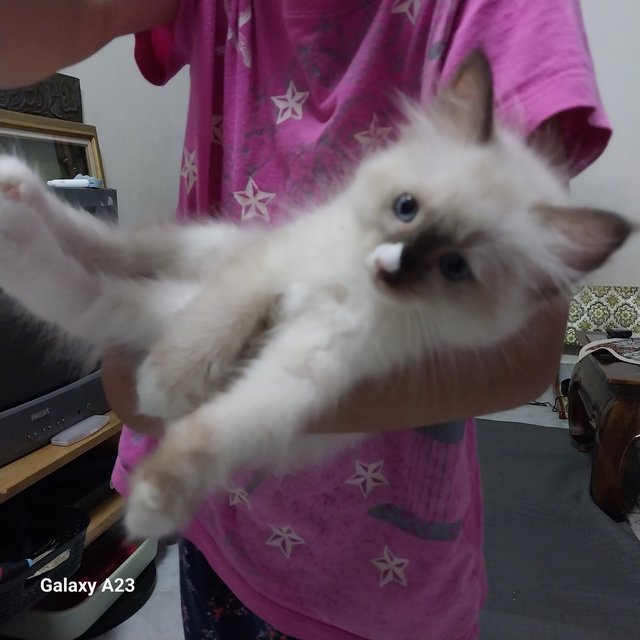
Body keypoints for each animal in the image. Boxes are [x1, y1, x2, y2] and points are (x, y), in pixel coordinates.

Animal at [0, 52, 632, 536]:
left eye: (454, 267)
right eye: (406, 207)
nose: (390, 266)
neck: (346, 284)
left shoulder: (307, 370)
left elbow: (214, 431)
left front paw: (154, 502)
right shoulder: (265, 269)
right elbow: (215, 324)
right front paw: (169, 380)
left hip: (161, 290)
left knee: (71, 281)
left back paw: (21, 225)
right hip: (205, 250)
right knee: (109, 249)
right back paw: (22, 188)